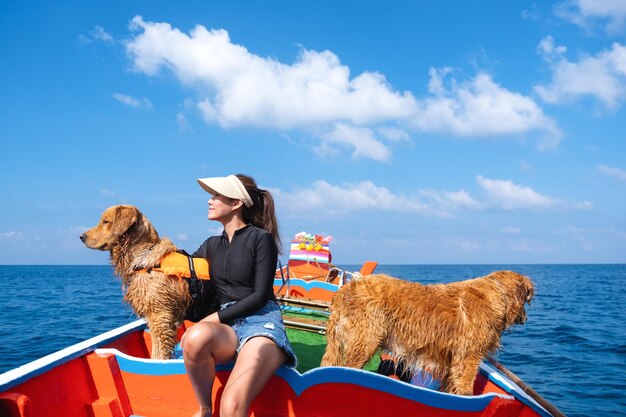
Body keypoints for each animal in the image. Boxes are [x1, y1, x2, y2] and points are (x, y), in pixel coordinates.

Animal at [322, 270, 532, 394]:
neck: (497, 295)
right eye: (525, 302)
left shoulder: (451, 361)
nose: (526, 318)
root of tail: (344, 290)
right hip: (365, 341)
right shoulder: (468, 357)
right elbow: (465, 387)